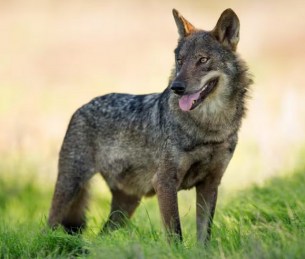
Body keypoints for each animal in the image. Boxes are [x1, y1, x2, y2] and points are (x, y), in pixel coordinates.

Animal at [48, 8, 252, 244]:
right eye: (180, 61)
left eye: (203, 60)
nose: (177, 87)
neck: (210, 128)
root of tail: (81, 108)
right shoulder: (164, 182)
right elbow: (175, 233)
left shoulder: (210, 184)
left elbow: (204, 236)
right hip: (70, 187)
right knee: (48, 227)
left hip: (126, 205)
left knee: (102, 236)